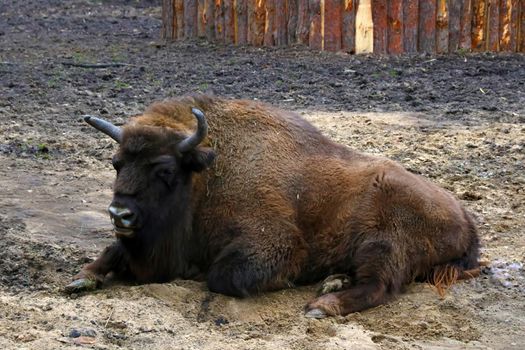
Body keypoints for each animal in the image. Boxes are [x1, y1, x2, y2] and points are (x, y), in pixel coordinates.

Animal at [68, 94, 478, 318]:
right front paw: (82, 278)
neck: (209, 175)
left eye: (164, 170)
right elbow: (112, 251)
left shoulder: (274, 242)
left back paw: (322, 305)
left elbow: (222, 276)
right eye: (116, 163)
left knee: (380, 286)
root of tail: (465, 218)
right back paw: (334, 280)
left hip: (382, 244)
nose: (120, 214)